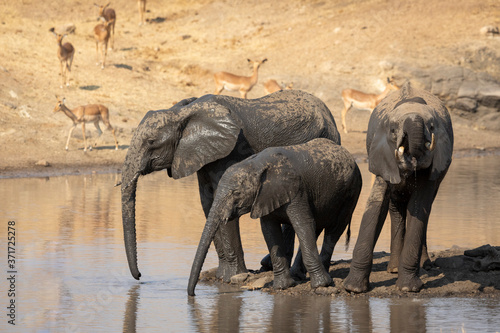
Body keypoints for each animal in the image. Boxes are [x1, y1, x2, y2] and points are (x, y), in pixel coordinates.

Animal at [119, 89, 342, 282]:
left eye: (151, 142)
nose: (139, 276)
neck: (184, 113)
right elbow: (208, 204)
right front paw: (221, 275)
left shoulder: (230, 151)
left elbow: (223, 204)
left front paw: (231, 277)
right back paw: (269, 265)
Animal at [188, 139, 364, 294]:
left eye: (236, 193)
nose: (192, 294)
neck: (257, 164)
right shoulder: (264, 197)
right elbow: (269, 231)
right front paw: (282, 287)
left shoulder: (297, 190)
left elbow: (303, 224)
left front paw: (321, 285)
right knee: (317, 229)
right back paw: (299, 276)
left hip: (352, 190)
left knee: (334, 230)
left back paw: (325, 277)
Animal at [344, 81, 454, 292]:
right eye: (393, 130)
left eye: (432, 126)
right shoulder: (382, 155)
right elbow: (375, 206)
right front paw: (353, 288)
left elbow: (419, 207)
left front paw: (408, 289)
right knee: (395, 208)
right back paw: (394, 269)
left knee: (424, 211)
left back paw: (424, 266)